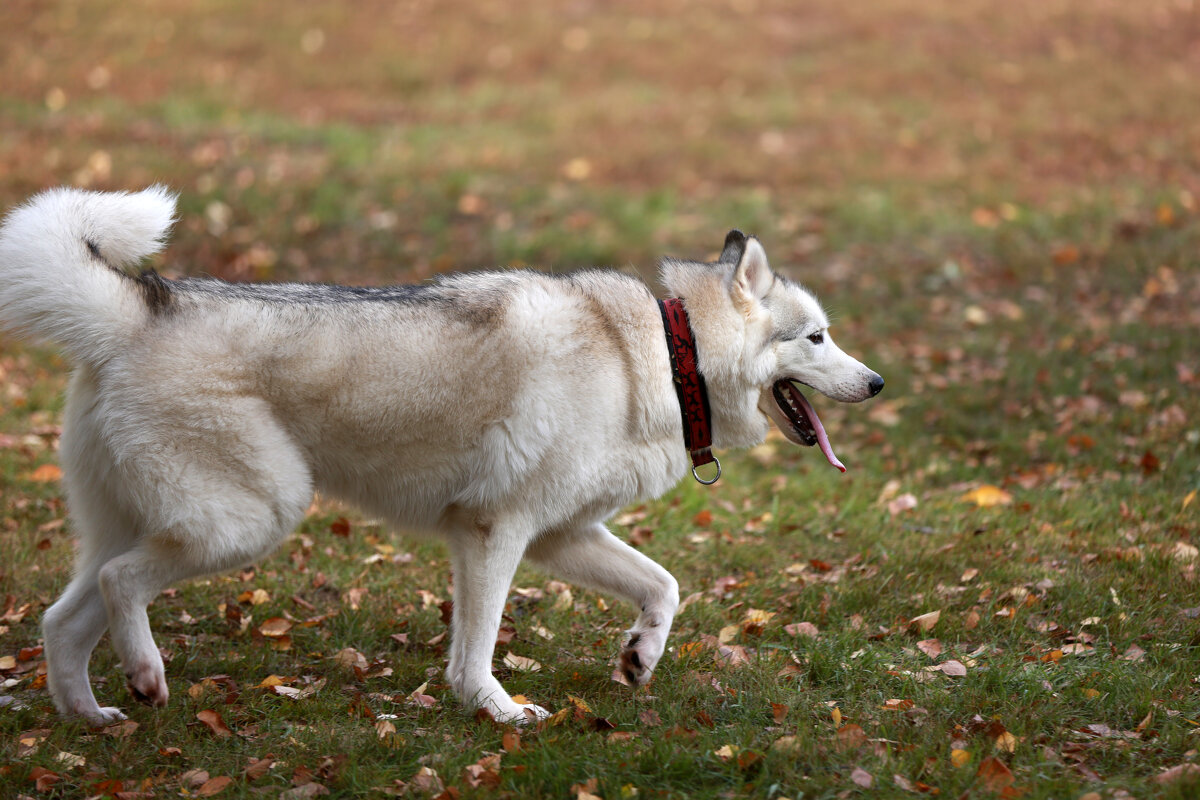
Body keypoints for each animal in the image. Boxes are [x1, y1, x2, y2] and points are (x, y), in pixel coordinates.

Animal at [0, 188, 883, 724]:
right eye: (816, 338)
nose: (877, 383)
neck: (669, 356)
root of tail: (136, 311)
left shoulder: (561, 536)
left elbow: (663, 586)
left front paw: (640, 659)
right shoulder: (496, 532)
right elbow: (477, 647)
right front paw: (496, 710)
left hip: (149, 523)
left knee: (63, 621)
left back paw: (93, 717)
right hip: (247, 520)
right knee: (121, 586)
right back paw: (147, 674)